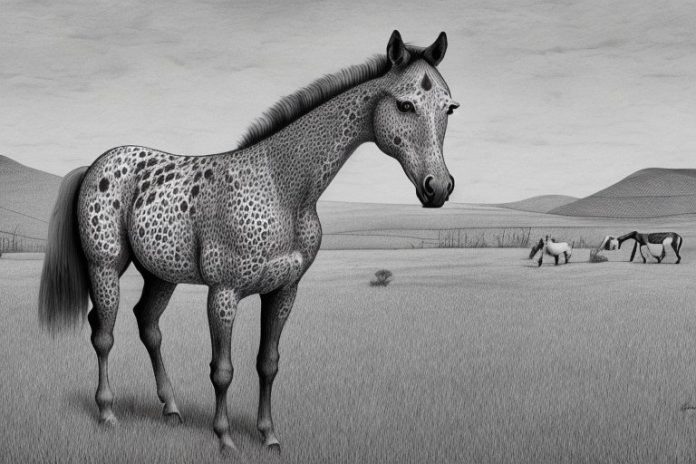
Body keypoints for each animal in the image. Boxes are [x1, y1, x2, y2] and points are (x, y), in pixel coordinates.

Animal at [37, 30, 459, 454]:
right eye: (405, 105)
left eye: (449, 108)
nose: (438, 188)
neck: (281, 187)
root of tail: (95, 165)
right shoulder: (223, 293)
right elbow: (222, 370)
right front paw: (225, 439)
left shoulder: (283, 291)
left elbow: (268, 363)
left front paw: (268, 435)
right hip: (105, 268)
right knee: (103, 333)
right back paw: (108, 413)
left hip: (161, 274)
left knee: (148, 324)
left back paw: (171, 408)